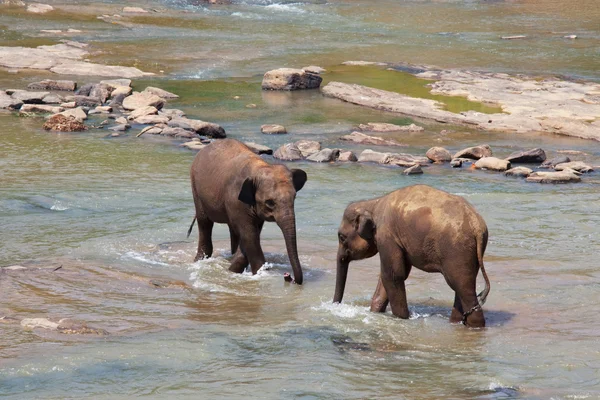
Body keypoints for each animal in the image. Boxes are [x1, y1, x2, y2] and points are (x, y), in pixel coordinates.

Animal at [189, 139, 310, 282]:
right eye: (270, 202)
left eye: (294, 198)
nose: (288, 276)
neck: (261, 167)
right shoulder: (236, 198)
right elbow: (249, 235)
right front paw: (258, 273)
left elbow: (251, 234)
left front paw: (234, 268)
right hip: (196, 188)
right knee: (204, 223)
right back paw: (200, 260)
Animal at [332, 184, 492, 328]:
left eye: (341, 237)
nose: (335, 306)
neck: (373, 203)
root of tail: (477, 226)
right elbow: (389, 276)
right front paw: (375, 312)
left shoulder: (387, 236)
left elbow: (393, 275)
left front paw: (401, 319)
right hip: (471, 252)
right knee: (462, 286)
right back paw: (455, 323)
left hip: (456, 250)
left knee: (462, 287)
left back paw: (475, 325)